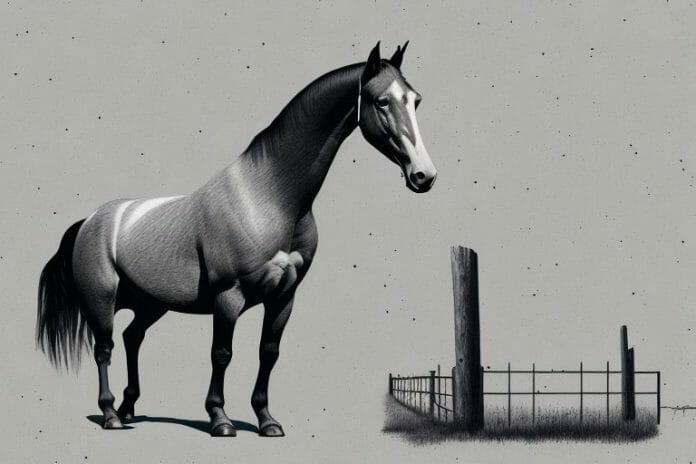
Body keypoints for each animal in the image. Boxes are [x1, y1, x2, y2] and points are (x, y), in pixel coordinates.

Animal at [36, 41, 437, 437]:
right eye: (382, 101)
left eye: (415, 100)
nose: (424, 176)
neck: (269, 197)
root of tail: (91, 220)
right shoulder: (228, 297)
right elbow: (222, 354)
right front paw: (220, 419)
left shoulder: (284, 298)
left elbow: (268, 353)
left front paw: (267, 421)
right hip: (101, 303)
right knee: (104, 348)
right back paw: (111, 415)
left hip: (152, 305)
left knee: (133, 338)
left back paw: (129, 407)